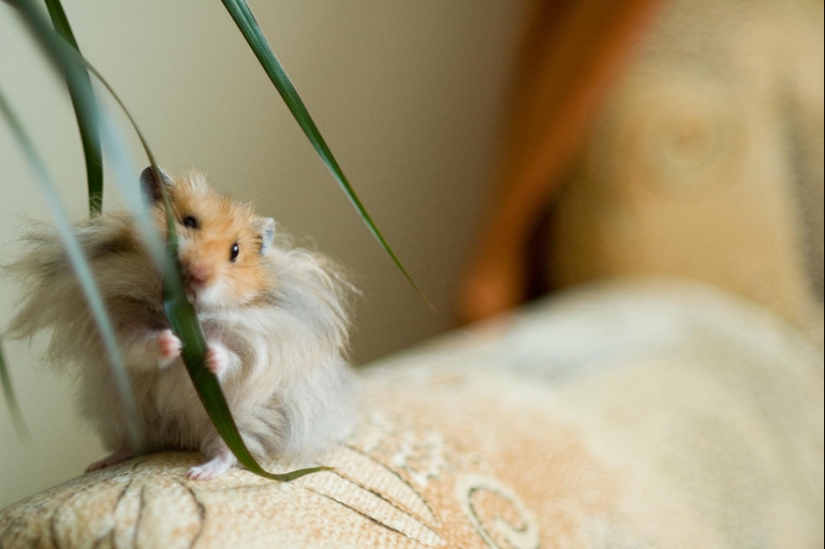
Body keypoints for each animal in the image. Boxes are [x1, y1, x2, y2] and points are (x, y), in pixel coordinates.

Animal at [7, 167, 356, 480]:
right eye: (188, 222)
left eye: (235, 251)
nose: (199, 273)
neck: (183, 312)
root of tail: (181, 438)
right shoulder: (120, 327)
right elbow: (138, 345)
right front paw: (173, 343)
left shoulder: (254, 343)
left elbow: (232, 357)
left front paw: (206, 354)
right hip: (123, 413)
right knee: (135, 445)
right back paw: (101, 464)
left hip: (244, 419)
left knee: (226, 452)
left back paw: (200, 474)